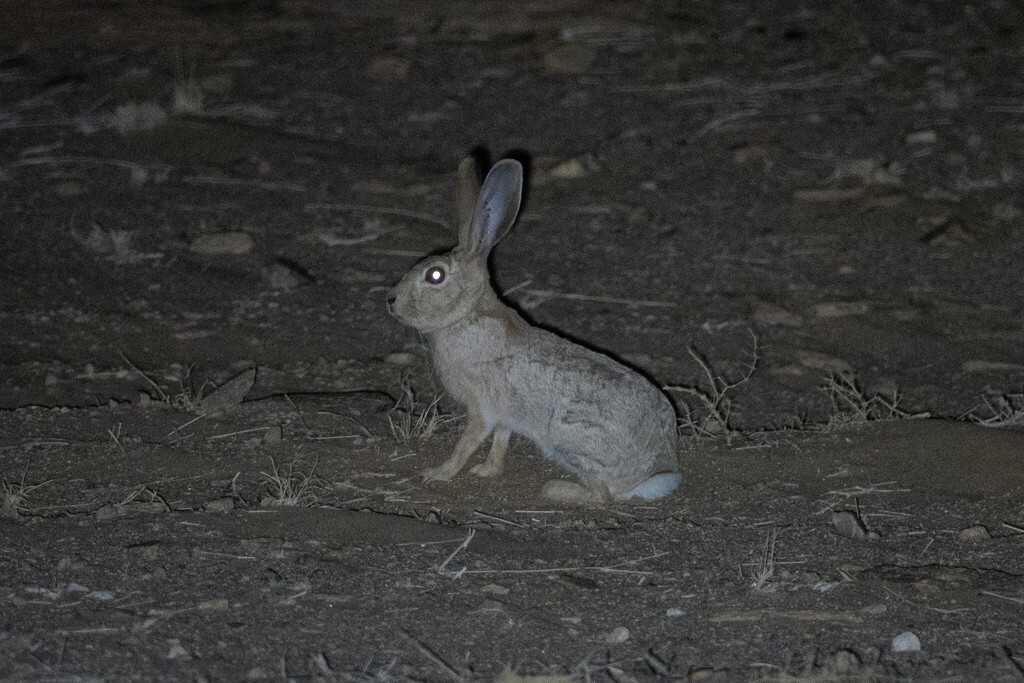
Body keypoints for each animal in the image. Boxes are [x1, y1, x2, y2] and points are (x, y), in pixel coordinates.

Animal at [386, 157, 681, 504]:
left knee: (603, 495)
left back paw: (556, 489)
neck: (465, 316)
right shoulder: (504, 416)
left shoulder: (482, 406)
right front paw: (487, 472)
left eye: (435, 276)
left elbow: (467, 443)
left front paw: (439, 473)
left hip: (569, 439)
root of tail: (652, 475)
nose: (391, 301)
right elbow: (500, 441)